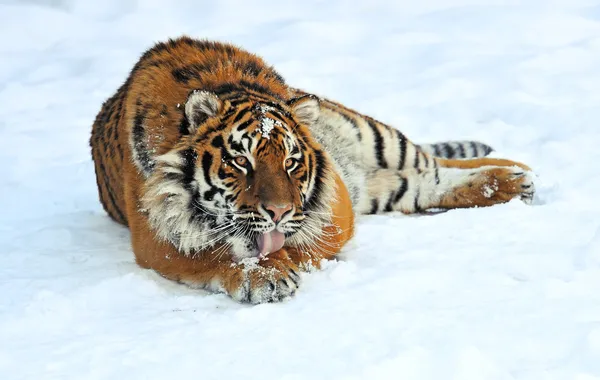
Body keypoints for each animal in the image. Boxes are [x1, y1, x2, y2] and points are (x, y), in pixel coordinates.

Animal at [90, 35, 536, 302]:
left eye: (290, 162)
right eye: (241, 161)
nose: (278, 211)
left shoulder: (334, 211)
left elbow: (301, 245)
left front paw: (277, 265)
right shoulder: (156, 236)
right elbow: (214, 253)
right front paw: (263, 275)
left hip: (376, 136)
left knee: (434, 163)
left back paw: (516, 170)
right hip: (384, 184)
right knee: (427, 182)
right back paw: (512, 181)